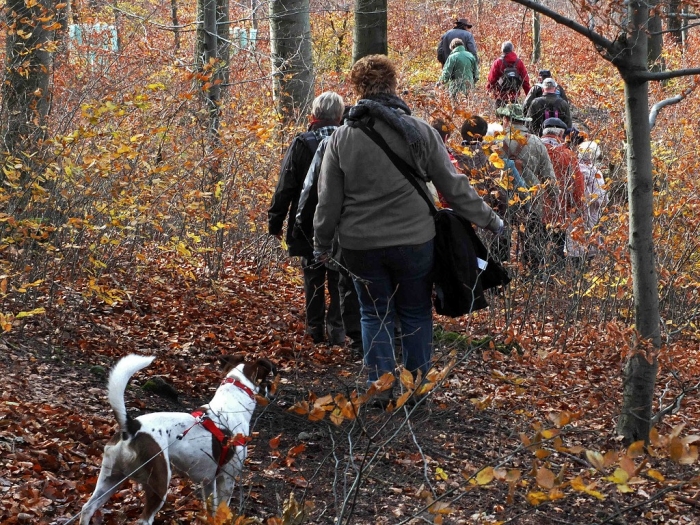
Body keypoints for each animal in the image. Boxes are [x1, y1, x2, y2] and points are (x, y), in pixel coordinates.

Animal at [80, 352, 276, 524]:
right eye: (267, 381)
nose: (272, 394)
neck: (232, 404)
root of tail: (132, 427)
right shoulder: (227, 478)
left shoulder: (208, 481)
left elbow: (211, 511)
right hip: (159, 482)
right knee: (144, 519)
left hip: (111, 479)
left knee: (87, 508)